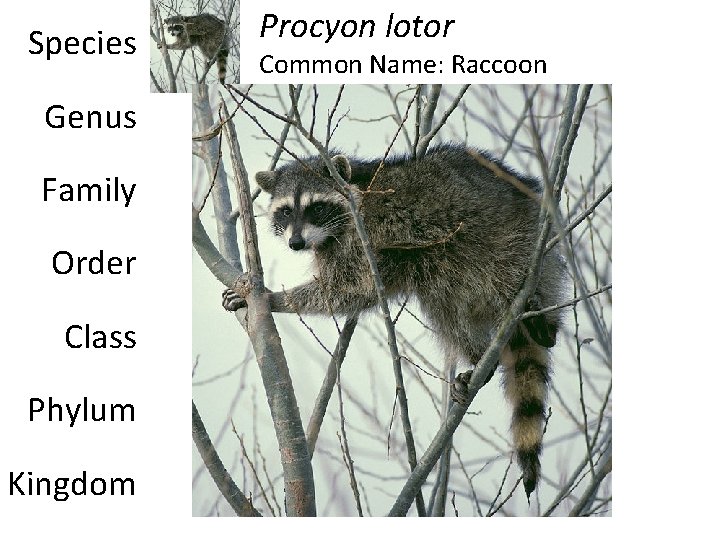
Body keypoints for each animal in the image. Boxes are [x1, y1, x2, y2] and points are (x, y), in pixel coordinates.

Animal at [223, 144, 566, 497]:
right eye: (286, 211)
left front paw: (277, 299)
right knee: (444, 302)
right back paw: (478, 356)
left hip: (512, 243)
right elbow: (353, 293)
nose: (296, 243)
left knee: (480, 279)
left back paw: (534, 326)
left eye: (315, 207)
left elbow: (351, 288)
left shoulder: (369, 235)